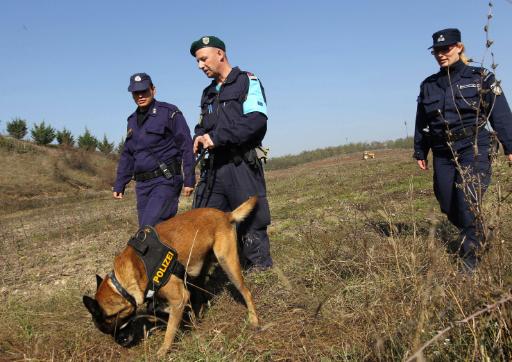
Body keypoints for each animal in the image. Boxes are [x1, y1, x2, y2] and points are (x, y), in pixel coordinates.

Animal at [85, 197, 260, 354]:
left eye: (107, 327)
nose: (120, 343)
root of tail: (226, 214)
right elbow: (153, 311)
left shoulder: (179, 298)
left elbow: (169, 330)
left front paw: (164, 349)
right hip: (199, 270)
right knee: (200, 295)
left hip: (227, 263)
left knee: (246, 292)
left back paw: (254, 319)